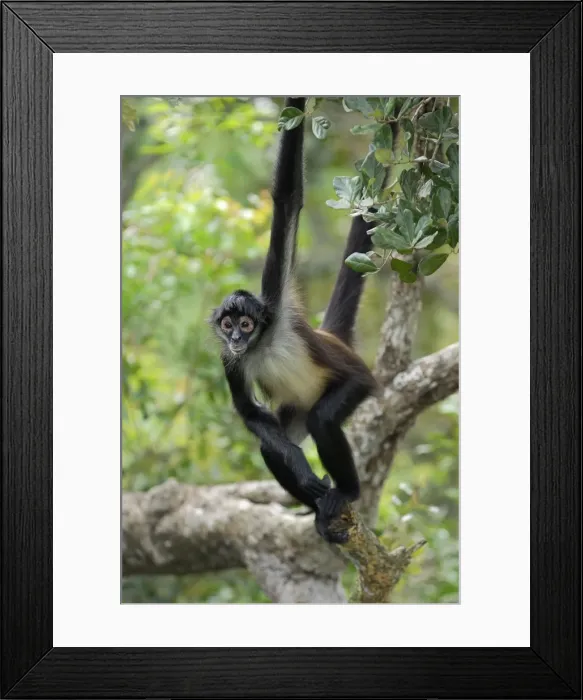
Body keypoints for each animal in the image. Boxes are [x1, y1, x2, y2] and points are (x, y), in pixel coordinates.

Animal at [210, 97, 378, 543]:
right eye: (227, 326)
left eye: (246, 324)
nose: (236, 339)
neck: (263, 341)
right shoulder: (228, 359)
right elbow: (250, 413)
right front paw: (303, 471)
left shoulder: (277, 302)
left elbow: (287, 197)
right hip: (294, 411)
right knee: (272, 444)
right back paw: (317, 508)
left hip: (357, 382)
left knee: (323, 419)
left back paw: (347, 492)